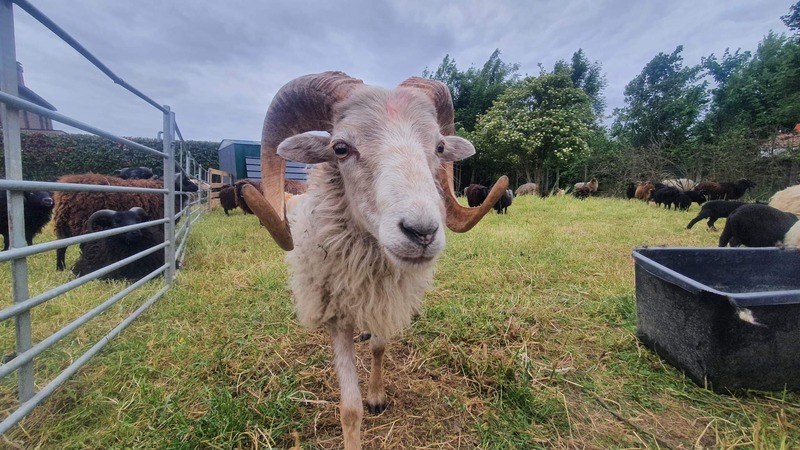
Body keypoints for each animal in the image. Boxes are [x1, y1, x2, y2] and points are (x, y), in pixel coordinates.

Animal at [238, 72, 510, 448]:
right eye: (340, 148)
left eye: (440, 148)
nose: (422, 232)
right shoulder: (336, 315)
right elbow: (350, 408)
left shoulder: (385, 300)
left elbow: (380, 348)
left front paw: (377, 396)